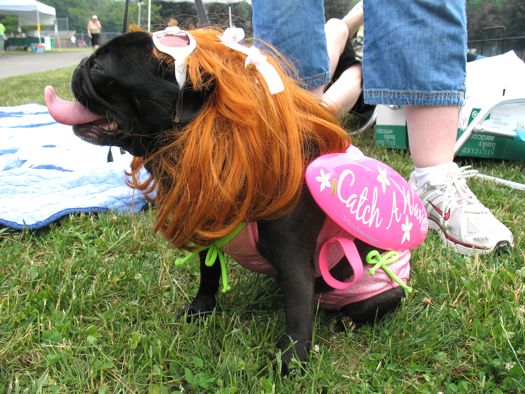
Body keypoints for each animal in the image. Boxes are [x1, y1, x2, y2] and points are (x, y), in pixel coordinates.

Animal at [45, 28, 406, 372]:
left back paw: (342, 321)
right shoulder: (209, 234)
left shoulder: (294, 262)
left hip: (376, 293)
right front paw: (200, 309)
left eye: (100, 67)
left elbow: (297, 317)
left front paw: (290, 363)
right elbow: (209, 275)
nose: (80, 65)